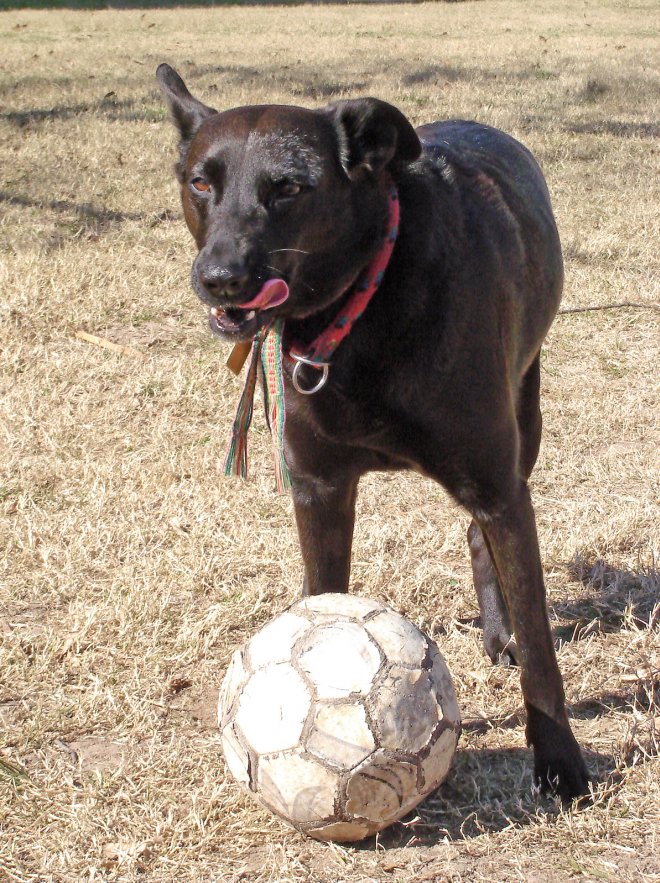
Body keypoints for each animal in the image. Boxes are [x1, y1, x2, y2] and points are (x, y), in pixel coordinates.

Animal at [159, 58, 588, 796]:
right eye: (200, 182)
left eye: (289, 187)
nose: (220, 278)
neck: (366, 306)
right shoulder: (320, 489)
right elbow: (322, 602)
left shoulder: (497, 485)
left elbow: (539, 646)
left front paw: (560, 761)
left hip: (524, 419)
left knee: (482, 536)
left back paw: (499, 635)